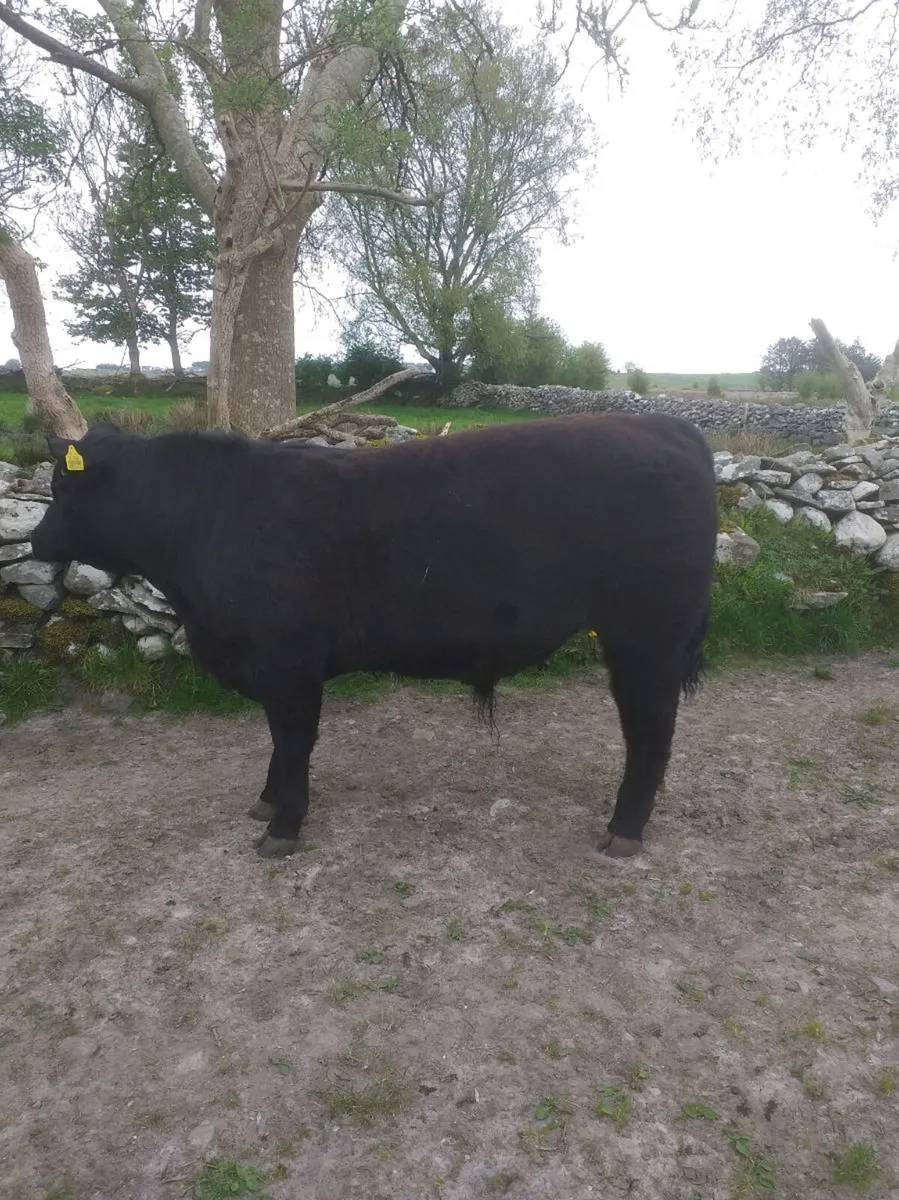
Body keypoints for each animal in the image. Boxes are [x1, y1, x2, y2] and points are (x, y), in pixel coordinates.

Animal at [30, 413, 717, 860]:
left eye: (62, 486)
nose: (35, 542)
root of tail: (666, 425)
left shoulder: (288, 664)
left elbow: (293, 741)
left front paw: (283, 826)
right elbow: (277, 742)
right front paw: (267, 801)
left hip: (646, 638)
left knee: (650, 733)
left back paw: (624, 830)